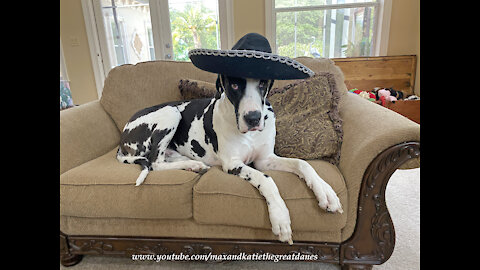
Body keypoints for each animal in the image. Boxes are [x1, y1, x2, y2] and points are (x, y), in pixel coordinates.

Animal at [117, 74, 344, 245]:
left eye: (262, 84)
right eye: (234, 85)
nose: (253, 118)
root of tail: (122, 139)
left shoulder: (266, 159)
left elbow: (302, 163)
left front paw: (326, 192)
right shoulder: (234, 164)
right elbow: (267, 180)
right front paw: (280, 217)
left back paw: (192, 163)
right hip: (170, 112)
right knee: (155, 162)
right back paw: (192, 164)